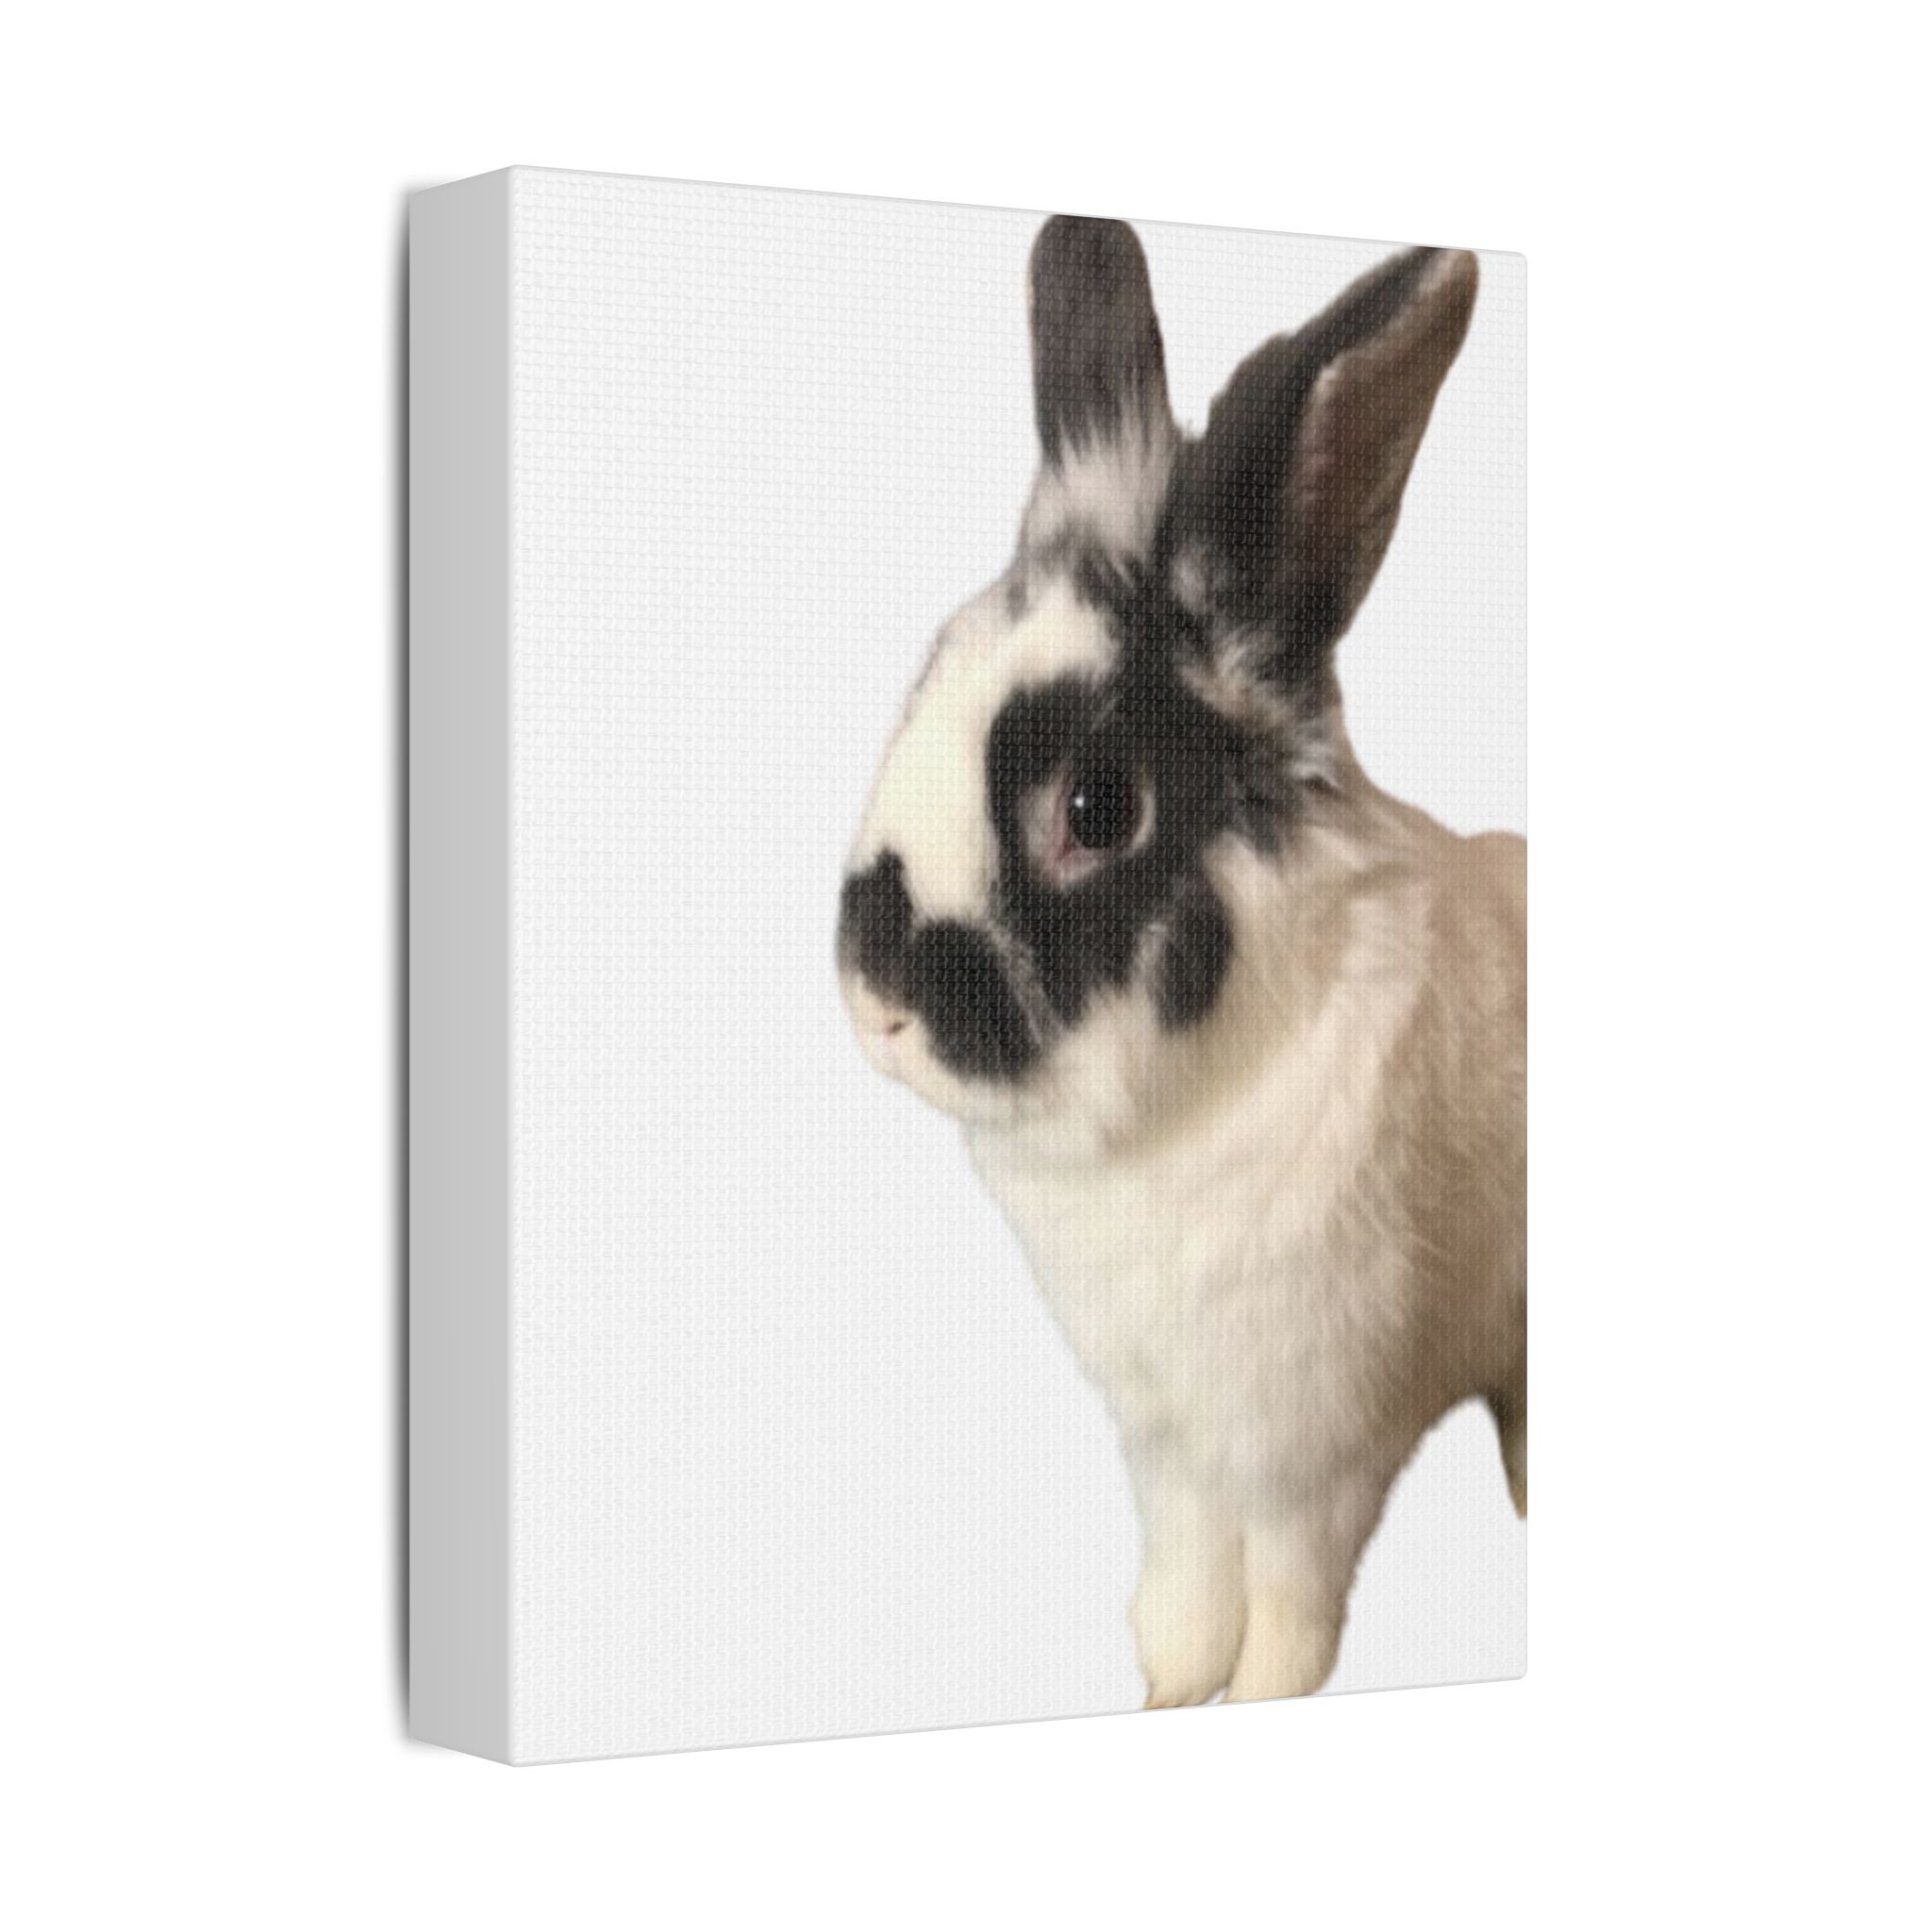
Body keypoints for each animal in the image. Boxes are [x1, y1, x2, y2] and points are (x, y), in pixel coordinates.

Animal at [837, 215, 1524, 1707]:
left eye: (1099, 808)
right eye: (922, 679)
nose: (878, 998)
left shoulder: (1310, 1449)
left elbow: (1287, 1607)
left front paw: (1250, 1695)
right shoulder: (1169, 1441)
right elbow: (1186, 1583)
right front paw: (1164, 1689)